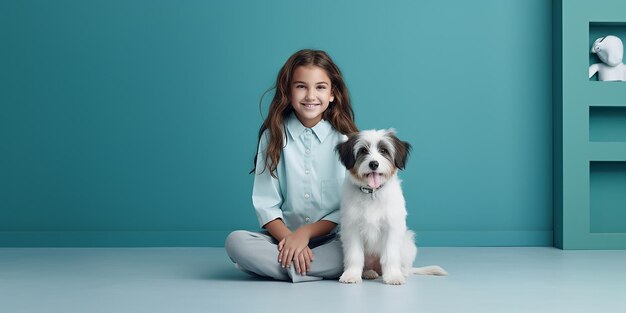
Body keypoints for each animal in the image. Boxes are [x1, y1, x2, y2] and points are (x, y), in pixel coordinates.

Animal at [334, 128, 446, 284]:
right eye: (363, 150)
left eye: (383, 150)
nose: (374, 164)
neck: (373, 194)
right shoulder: (352, 228)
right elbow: (354, 255)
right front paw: (352, 274)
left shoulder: (391, 228)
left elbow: (390, 255)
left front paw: (393, 276)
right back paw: (368, 272)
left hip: (408, 243)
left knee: (405, 266)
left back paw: (401, 272)